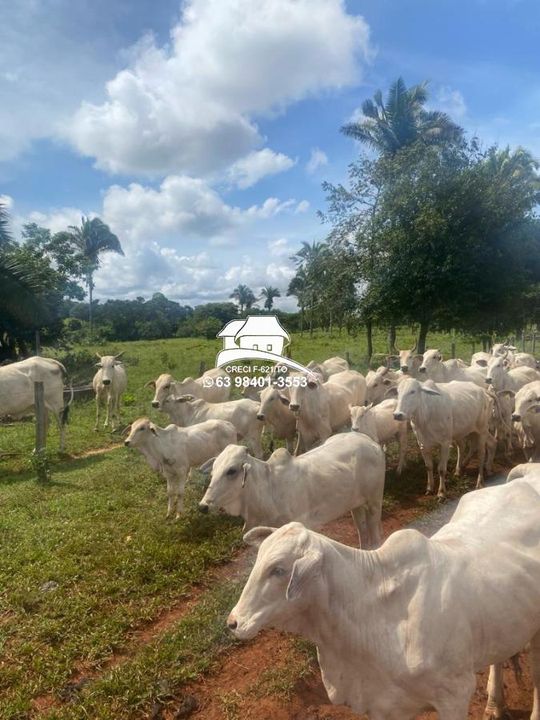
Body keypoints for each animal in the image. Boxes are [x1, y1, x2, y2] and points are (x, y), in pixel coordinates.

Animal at [198, 434, 384, 544]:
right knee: (362, 531)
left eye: (231, 471)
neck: (269, 487)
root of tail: (370, 441)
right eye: (213, 471)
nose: (203, 506)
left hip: (375, 502)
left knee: (375, 536)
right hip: (355, 505)